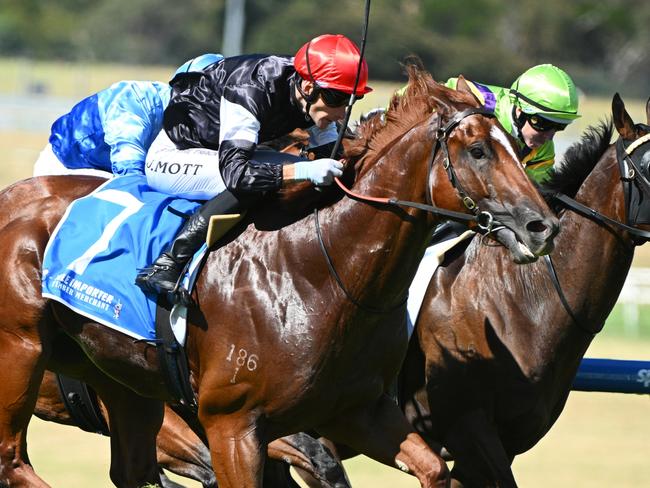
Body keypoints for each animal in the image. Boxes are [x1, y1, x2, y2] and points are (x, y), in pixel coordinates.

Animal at [0, 66, 556, 488]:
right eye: (479, 151)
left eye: (520, 148)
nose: (541, 226)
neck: (322, 273)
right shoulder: (232, 426)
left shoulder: (359, 410)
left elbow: (434, 469)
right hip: (22, 351)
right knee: (13, 462)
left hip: (121, 380)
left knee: (129, 470)